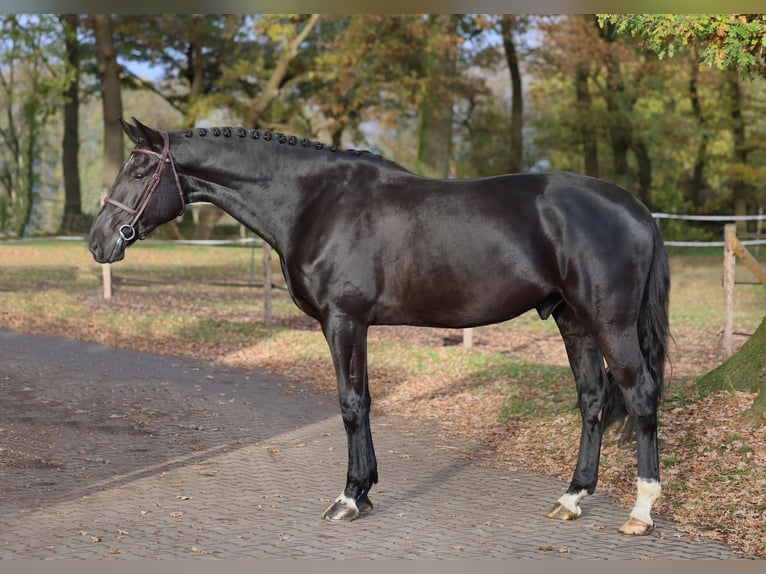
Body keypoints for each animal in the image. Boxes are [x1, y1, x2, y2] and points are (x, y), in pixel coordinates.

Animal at [90, 119, 672, 536]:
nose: (99, 242)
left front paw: (349, 497)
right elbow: (364, 402)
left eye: (139, 173)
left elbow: (351, 405)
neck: (314, 201)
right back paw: (572, 497)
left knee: (640, 394)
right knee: (593, 400)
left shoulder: (343, 321)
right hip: (573, 322)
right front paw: (365, 491)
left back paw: (641, 510)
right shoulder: (356, 325)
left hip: (610, 322)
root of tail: (637, 209)